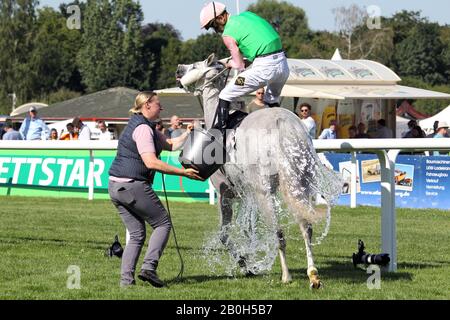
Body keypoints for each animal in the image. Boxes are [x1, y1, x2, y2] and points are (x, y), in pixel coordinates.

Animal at [176, 53, 342, 288]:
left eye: (195, 66)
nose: (178, 70)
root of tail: (283, 124)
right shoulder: (248, 197)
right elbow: (249, 231)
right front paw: (251, 259)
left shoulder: (228, 194)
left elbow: (226, 235)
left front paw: (246, 263)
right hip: (299, 188)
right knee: (306, 226)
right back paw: (313, 274)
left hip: (265, 194)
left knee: (279, 232)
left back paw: (286, 276)